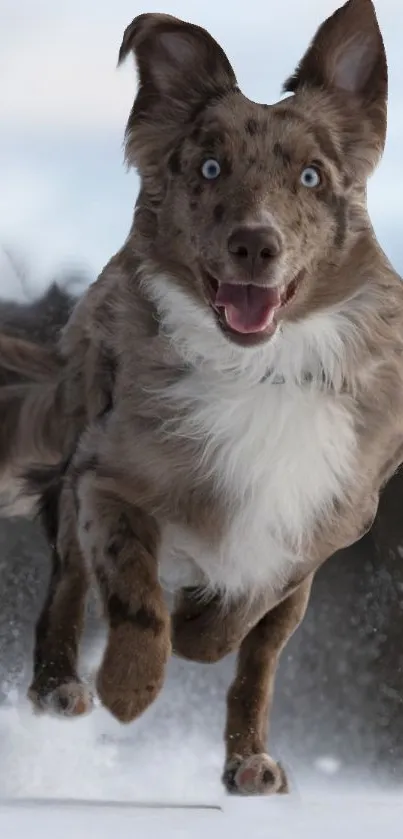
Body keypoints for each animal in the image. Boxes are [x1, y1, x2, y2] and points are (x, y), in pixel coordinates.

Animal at [0, 0, 403, 796]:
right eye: (211, 168)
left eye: (311, 176)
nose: (255, 243)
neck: (260, 369)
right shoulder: (105, 480)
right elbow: (133, 595)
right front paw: (128, 687)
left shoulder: (317, 527)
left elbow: (239, 623)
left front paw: (200, 626)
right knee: (67, 587)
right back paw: (61, 687)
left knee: (257, 666)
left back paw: (249, 760)